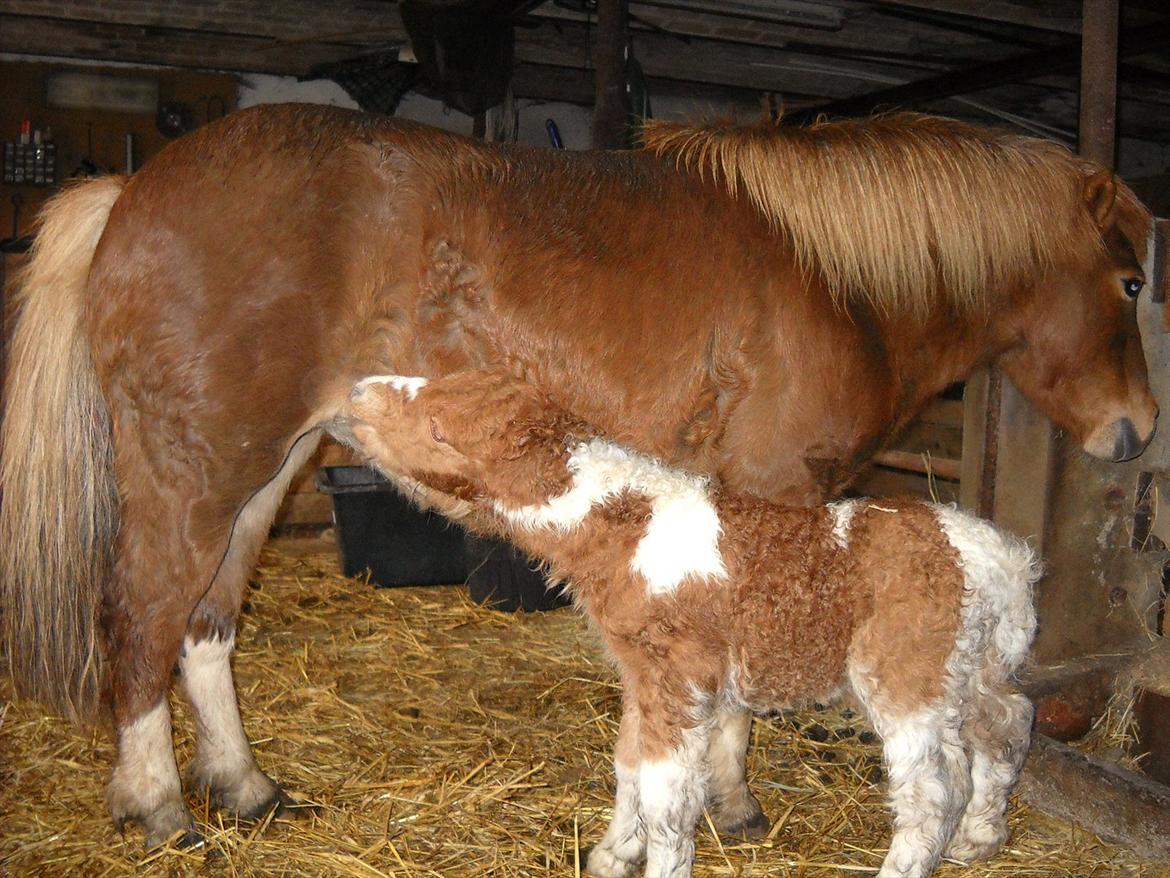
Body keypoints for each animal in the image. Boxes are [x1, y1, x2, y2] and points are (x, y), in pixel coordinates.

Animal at [341, 372, 1038, 878]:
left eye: (438, 431)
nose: (356, 391)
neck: (624, 529)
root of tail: (1001, 561)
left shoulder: (677, 678)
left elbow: (667, 793)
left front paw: (653, 860)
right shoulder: (641, 675)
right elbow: (629, 764)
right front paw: (612, 854)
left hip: (905, 678)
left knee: (931, 791)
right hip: (967, 670)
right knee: (1006, 726)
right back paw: (980, 838)